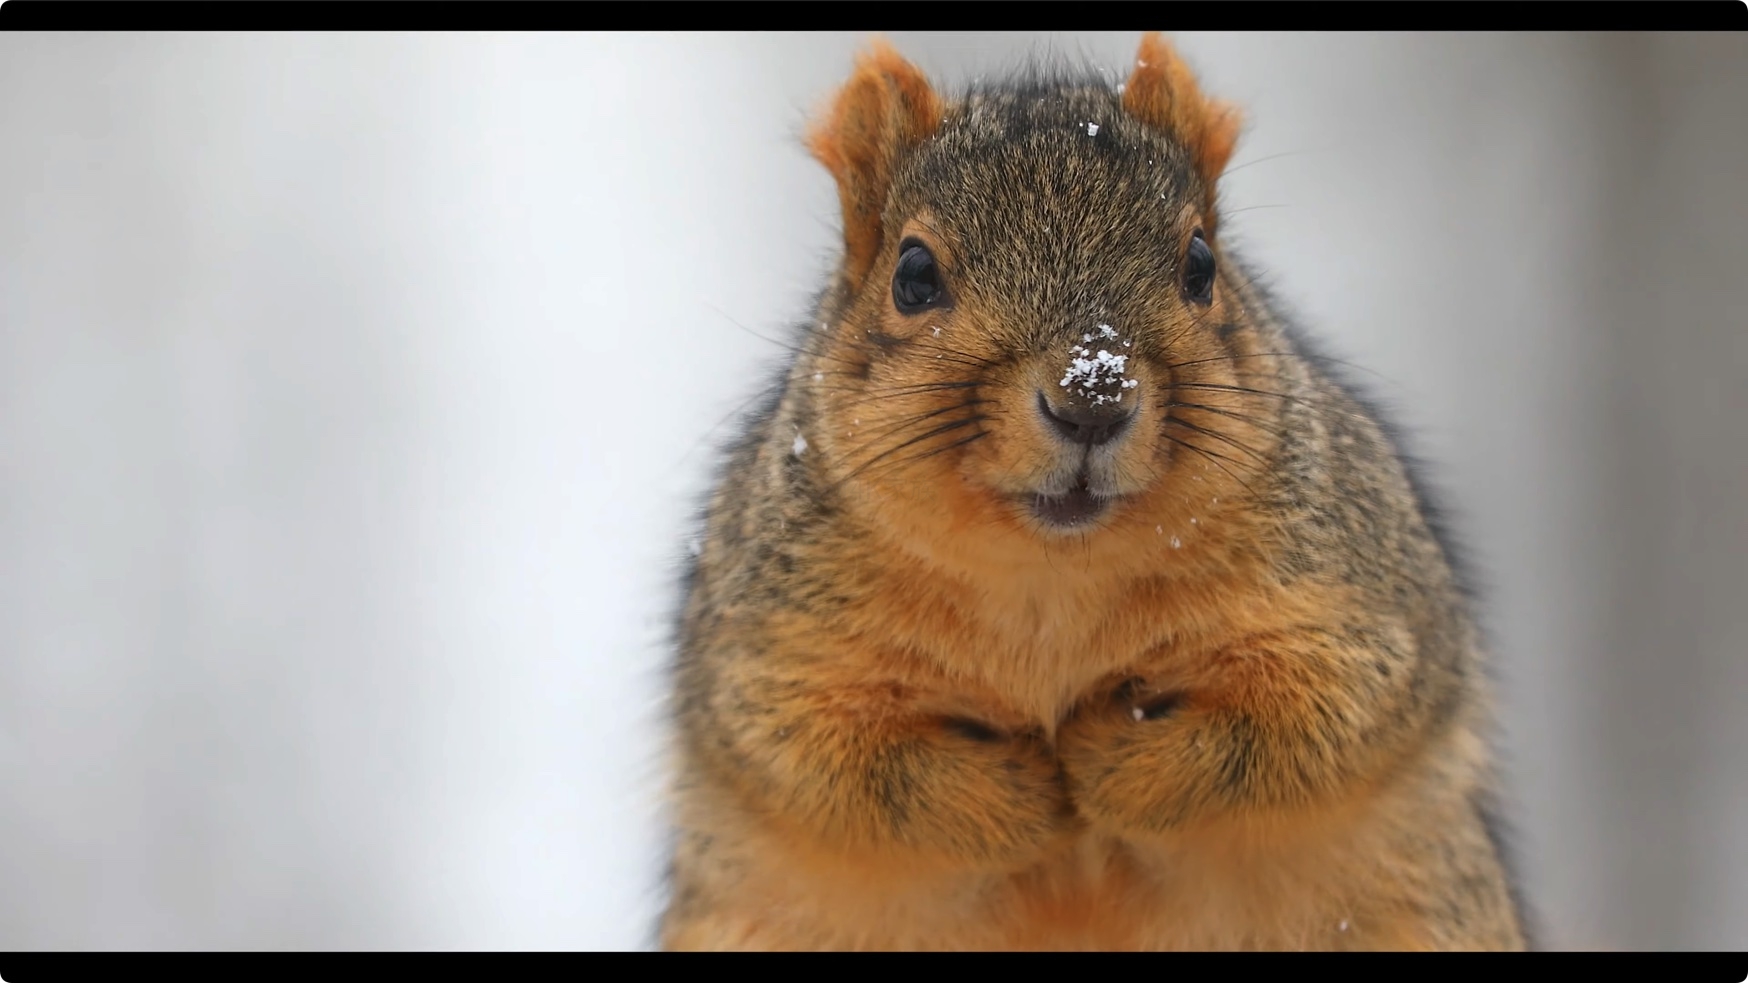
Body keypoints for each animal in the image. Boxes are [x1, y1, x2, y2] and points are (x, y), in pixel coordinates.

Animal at [660, 33, 1531, 951]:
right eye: (913, 274)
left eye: (1201, 265)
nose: (1094, 395)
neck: (1054, 575)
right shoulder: (773, 647)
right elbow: (826, 760)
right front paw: (1029, 790)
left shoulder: (1354, 598)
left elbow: (1313, 716)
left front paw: (1102, 762)